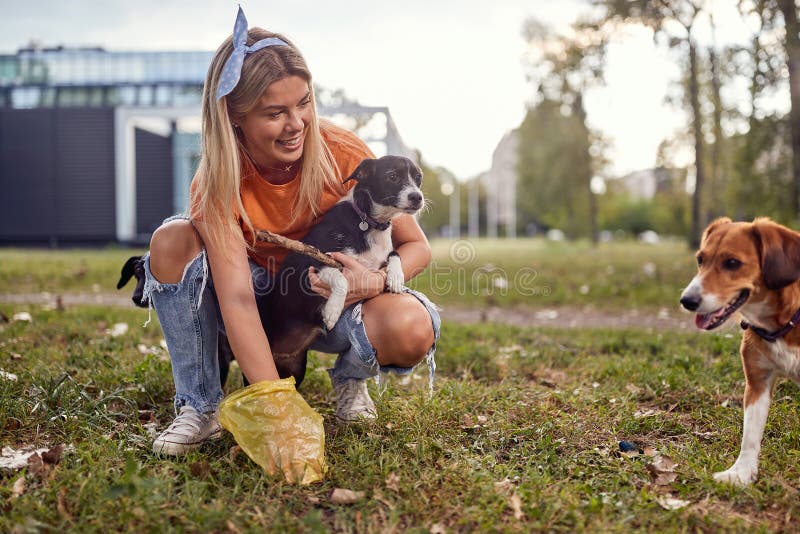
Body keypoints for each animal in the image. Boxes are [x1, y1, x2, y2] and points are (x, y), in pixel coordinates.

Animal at [260, 154, 424, 382]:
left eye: (418, 178)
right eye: (392, 176)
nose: (417, 197)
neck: (370, 223)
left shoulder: (382, 257)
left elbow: (394, 254)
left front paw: (396, 277)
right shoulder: (313, 262)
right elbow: (342, 279)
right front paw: (332, 311)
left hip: (296, 365)